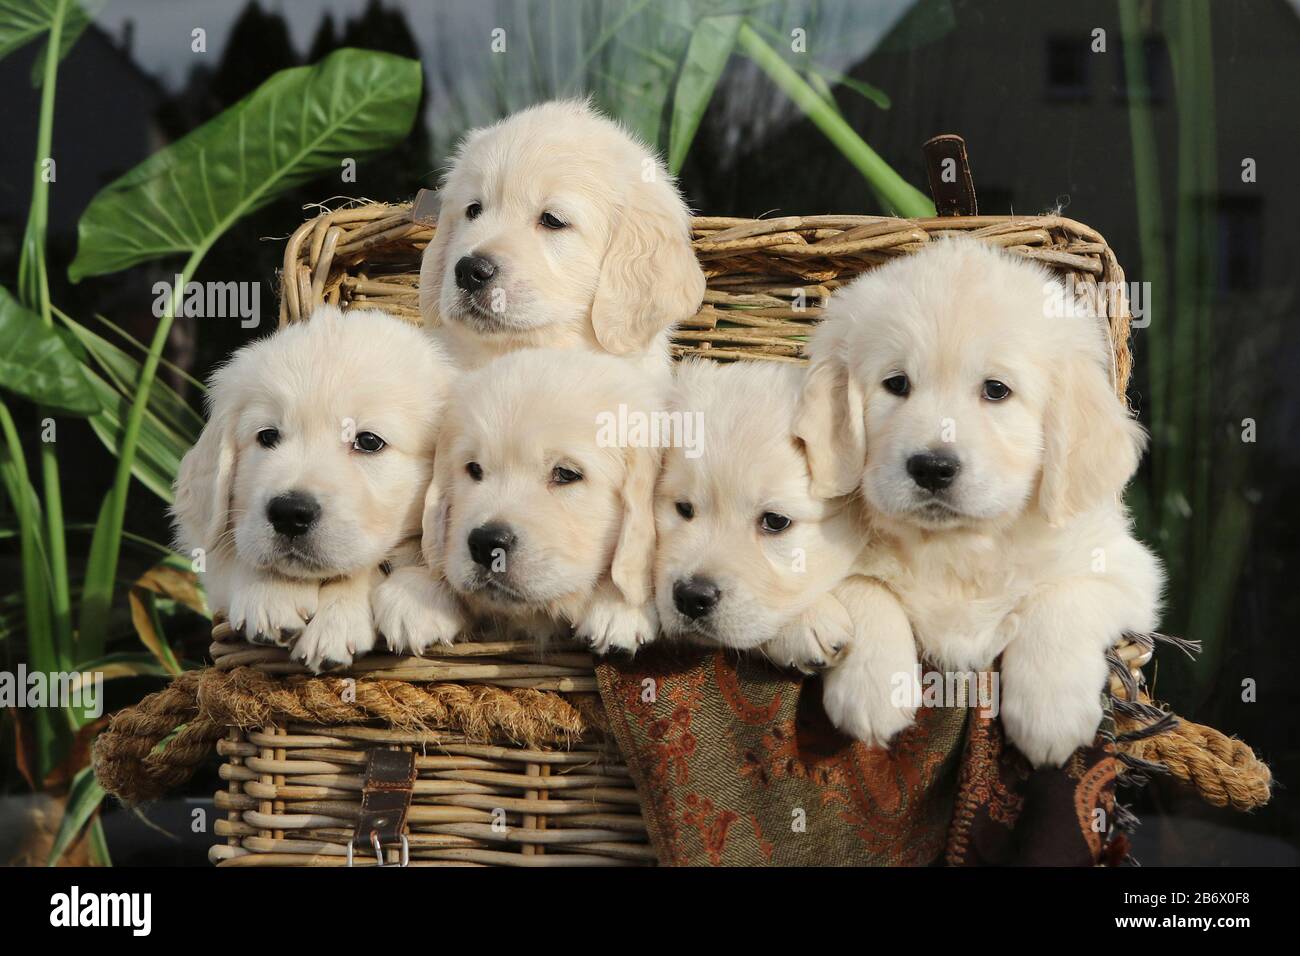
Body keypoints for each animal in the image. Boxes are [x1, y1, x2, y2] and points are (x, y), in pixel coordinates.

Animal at [795, 240, 1164, 770]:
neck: (956, 545)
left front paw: (1050, 713)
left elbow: (1062, 595)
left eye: (996, 390)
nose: (932, 467)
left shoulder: (1127, 568)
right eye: (896, 384)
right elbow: (863, 583)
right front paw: (874, 687)